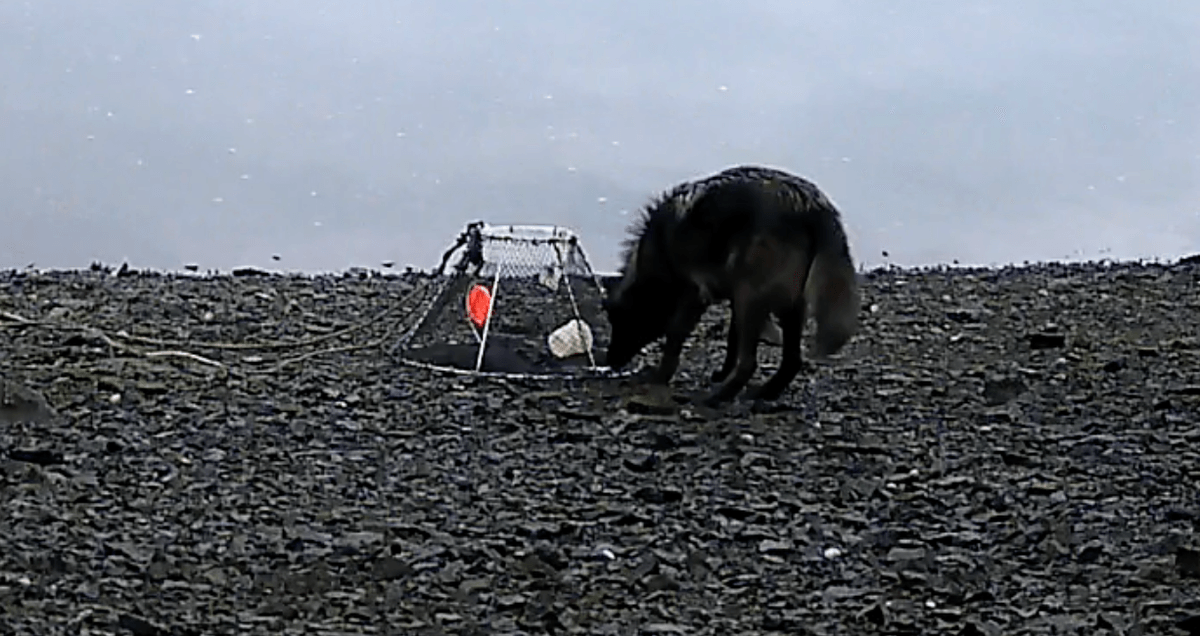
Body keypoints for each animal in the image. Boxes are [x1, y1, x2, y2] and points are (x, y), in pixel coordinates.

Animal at [601, 165, 861, 406]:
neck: (658, 249)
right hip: (787, 305)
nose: (609, 361)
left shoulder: (697, 294)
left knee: (750, 363)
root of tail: (812, 207)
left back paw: (719, 397)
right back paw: (765, 392)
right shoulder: (733, 296)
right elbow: (731, 338)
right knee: (792, 361)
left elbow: (675, 335)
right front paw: (722, 371)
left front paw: (660, 376)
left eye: (620, 321)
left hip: (753, 297)